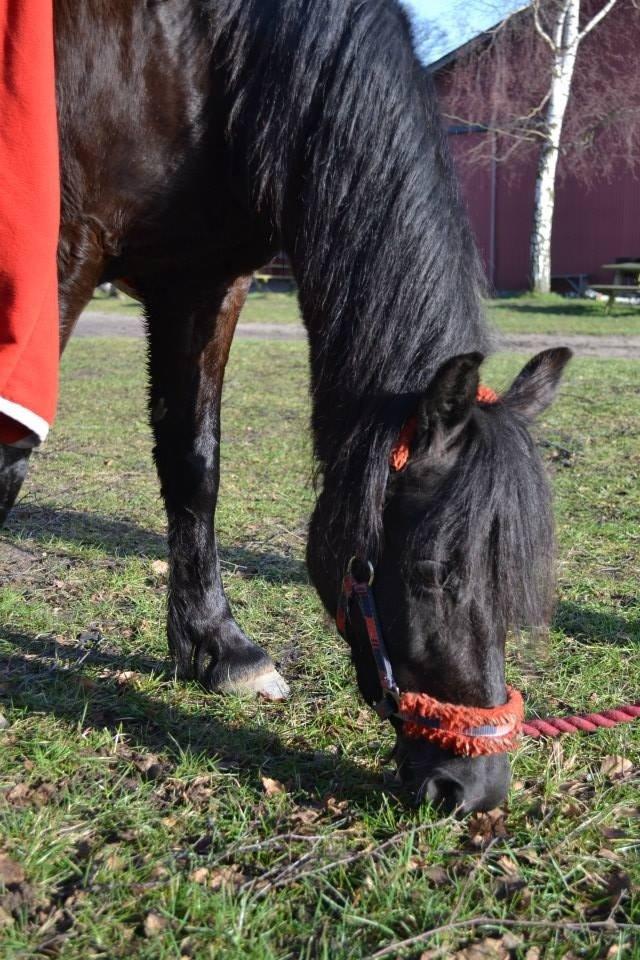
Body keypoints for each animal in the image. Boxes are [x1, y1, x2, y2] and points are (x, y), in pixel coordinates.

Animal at [0, 0, 568, 808]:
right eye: (432, 573)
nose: (474, 788)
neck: (198, 51)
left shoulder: (204, 281)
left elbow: (194, 464)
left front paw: (218, 649)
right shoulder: (62, 247)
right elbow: (13, 451)